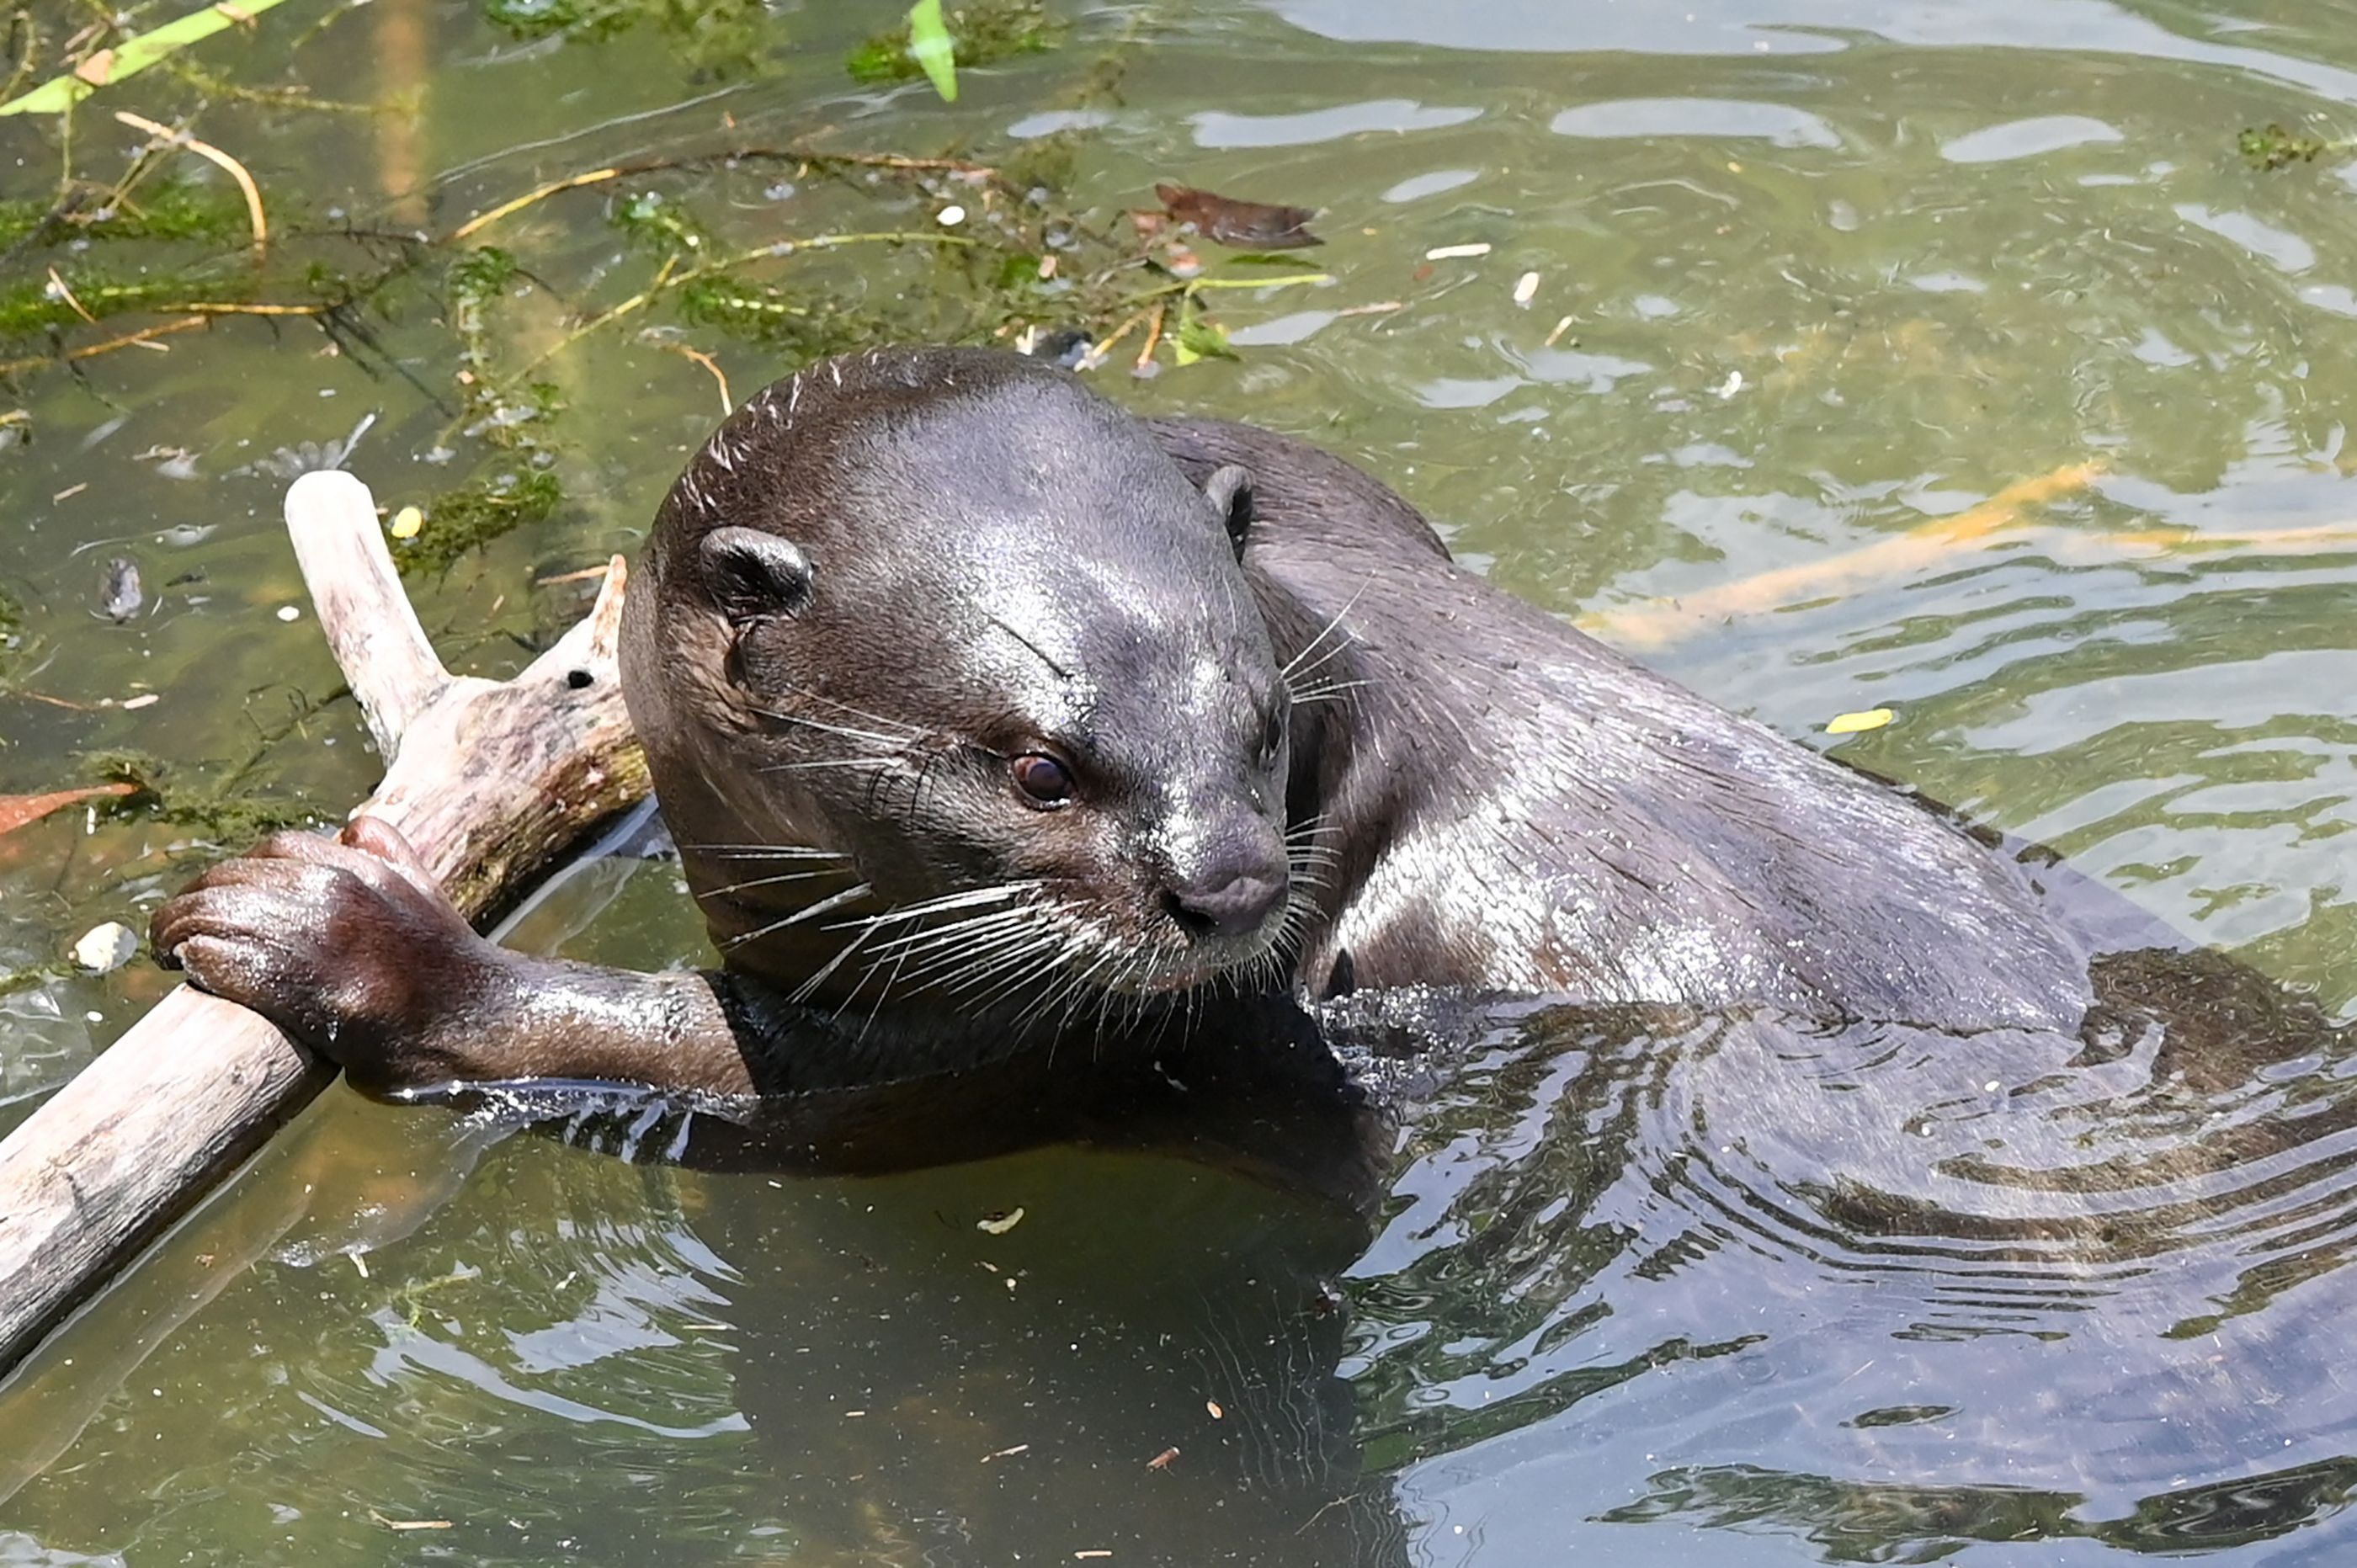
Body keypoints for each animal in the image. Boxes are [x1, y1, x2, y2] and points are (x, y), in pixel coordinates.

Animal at [150, 346, 2134, 1163]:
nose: (1234, 889)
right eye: (1037, 767)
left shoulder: (1026, 1036)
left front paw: (329, 932)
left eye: (1255, 725)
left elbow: (781, 1079)